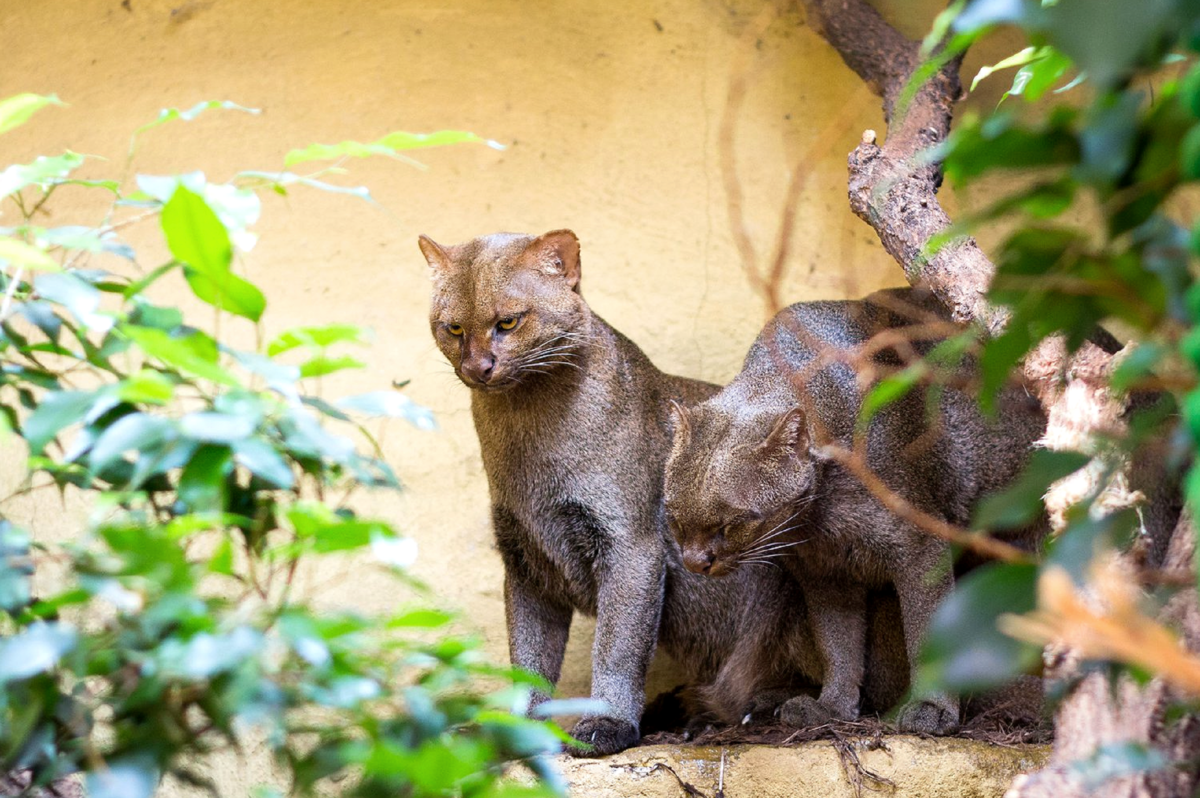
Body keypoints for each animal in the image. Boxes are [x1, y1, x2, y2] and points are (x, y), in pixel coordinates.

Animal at [662, 286, 1046, 734]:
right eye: (674, 519)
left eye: (733, 524)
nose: (695, 562)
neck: (818, 521)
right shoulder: (825, 574)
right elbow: (838, 644)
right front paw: (833, 705)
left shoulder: (921, 545)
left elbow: (928, 632)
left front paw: (932, 708)